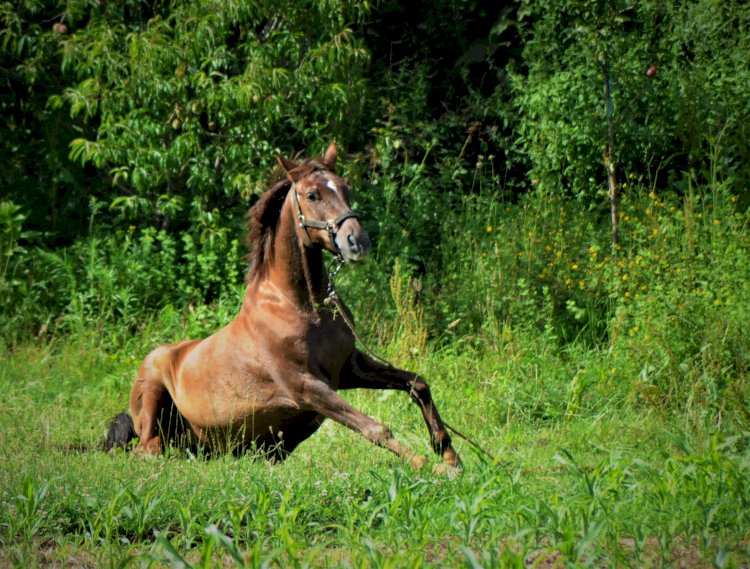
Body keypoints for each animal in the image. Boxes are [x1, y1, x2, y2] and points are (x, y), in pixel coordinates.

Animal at [104, 143, 458, 470]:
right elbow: (376, 428)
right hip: (152, 395)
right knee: (148, 450)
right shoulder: (306, 387)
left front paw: (449, 454)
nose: (357, 242)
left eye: (346, 189)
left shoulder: (349, 368)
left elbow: (417, 383)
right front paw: (428, 465)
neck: (304, 308)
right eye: (313, 195)